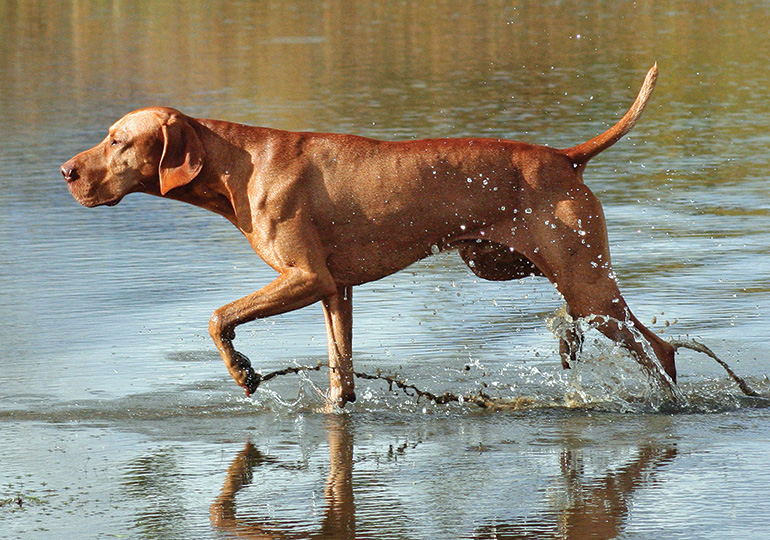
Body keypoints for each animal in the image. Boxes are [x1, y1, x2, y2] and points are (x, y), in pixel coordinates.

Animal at [61, 64, 672, 404]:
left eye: (117, 141)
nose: (66, 171)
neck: (241, 164)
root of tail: (566, 157)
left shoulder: (306, 277)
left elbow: (217, 317)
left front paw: (243, 372)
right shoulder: (336, 290)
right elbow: (341, 373)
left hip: (585, 282)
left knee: (659, 350)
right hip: (508, 263)